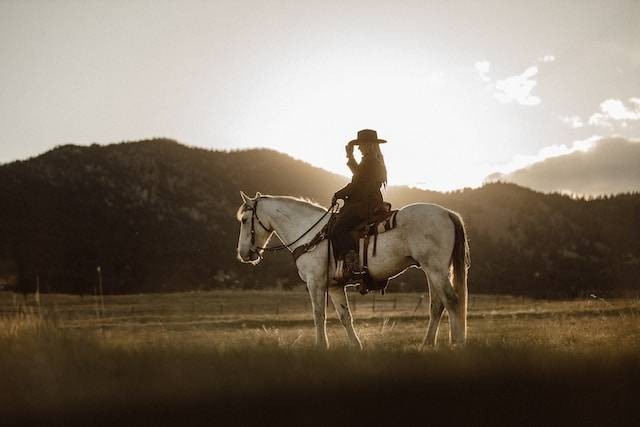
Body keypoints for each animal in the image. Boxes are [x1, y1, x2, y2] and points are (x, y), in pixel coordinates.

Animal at [236, 192, 470, 350]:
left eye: (245, 220)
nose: (243, 254)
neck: (311, 234)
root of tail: (447, 213)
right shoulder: (335, 286)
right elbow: (344, 316)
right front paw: (355, 346)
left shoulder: (315, 283)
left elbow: (318, 315)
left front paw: (321, 347)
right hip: (432, 271)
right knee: (437, 305)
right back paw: (427, 344)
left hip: (435, 269)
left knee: (452, 300)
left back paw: (457, 343)